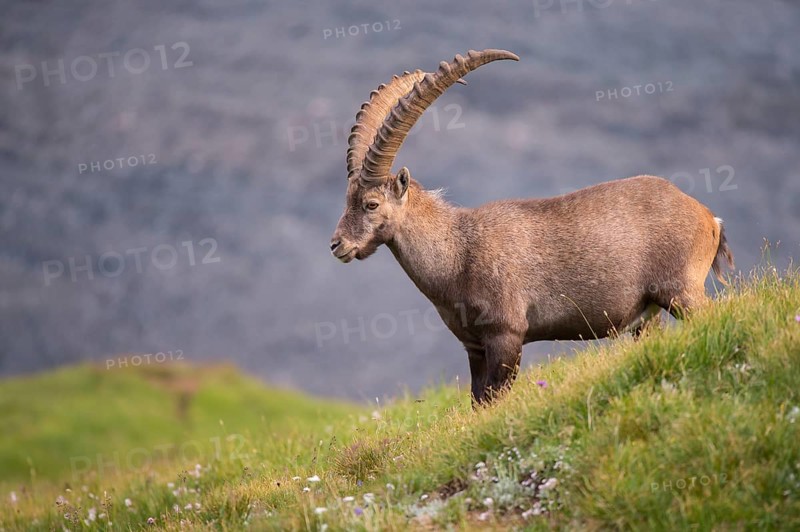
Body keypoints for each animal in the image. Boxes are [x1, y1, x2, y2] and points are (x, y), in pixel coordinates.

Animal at [330, 49, 734, 405]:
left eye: (370, 204)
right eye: (346, 199)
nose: (337, 245)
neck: (457, 252)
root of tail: (707, 216)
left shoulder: (507, 334)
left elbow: (496, 397)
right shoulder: (473, 346)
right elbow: (479, 402)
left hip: (681, 291)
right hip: (646, 317)